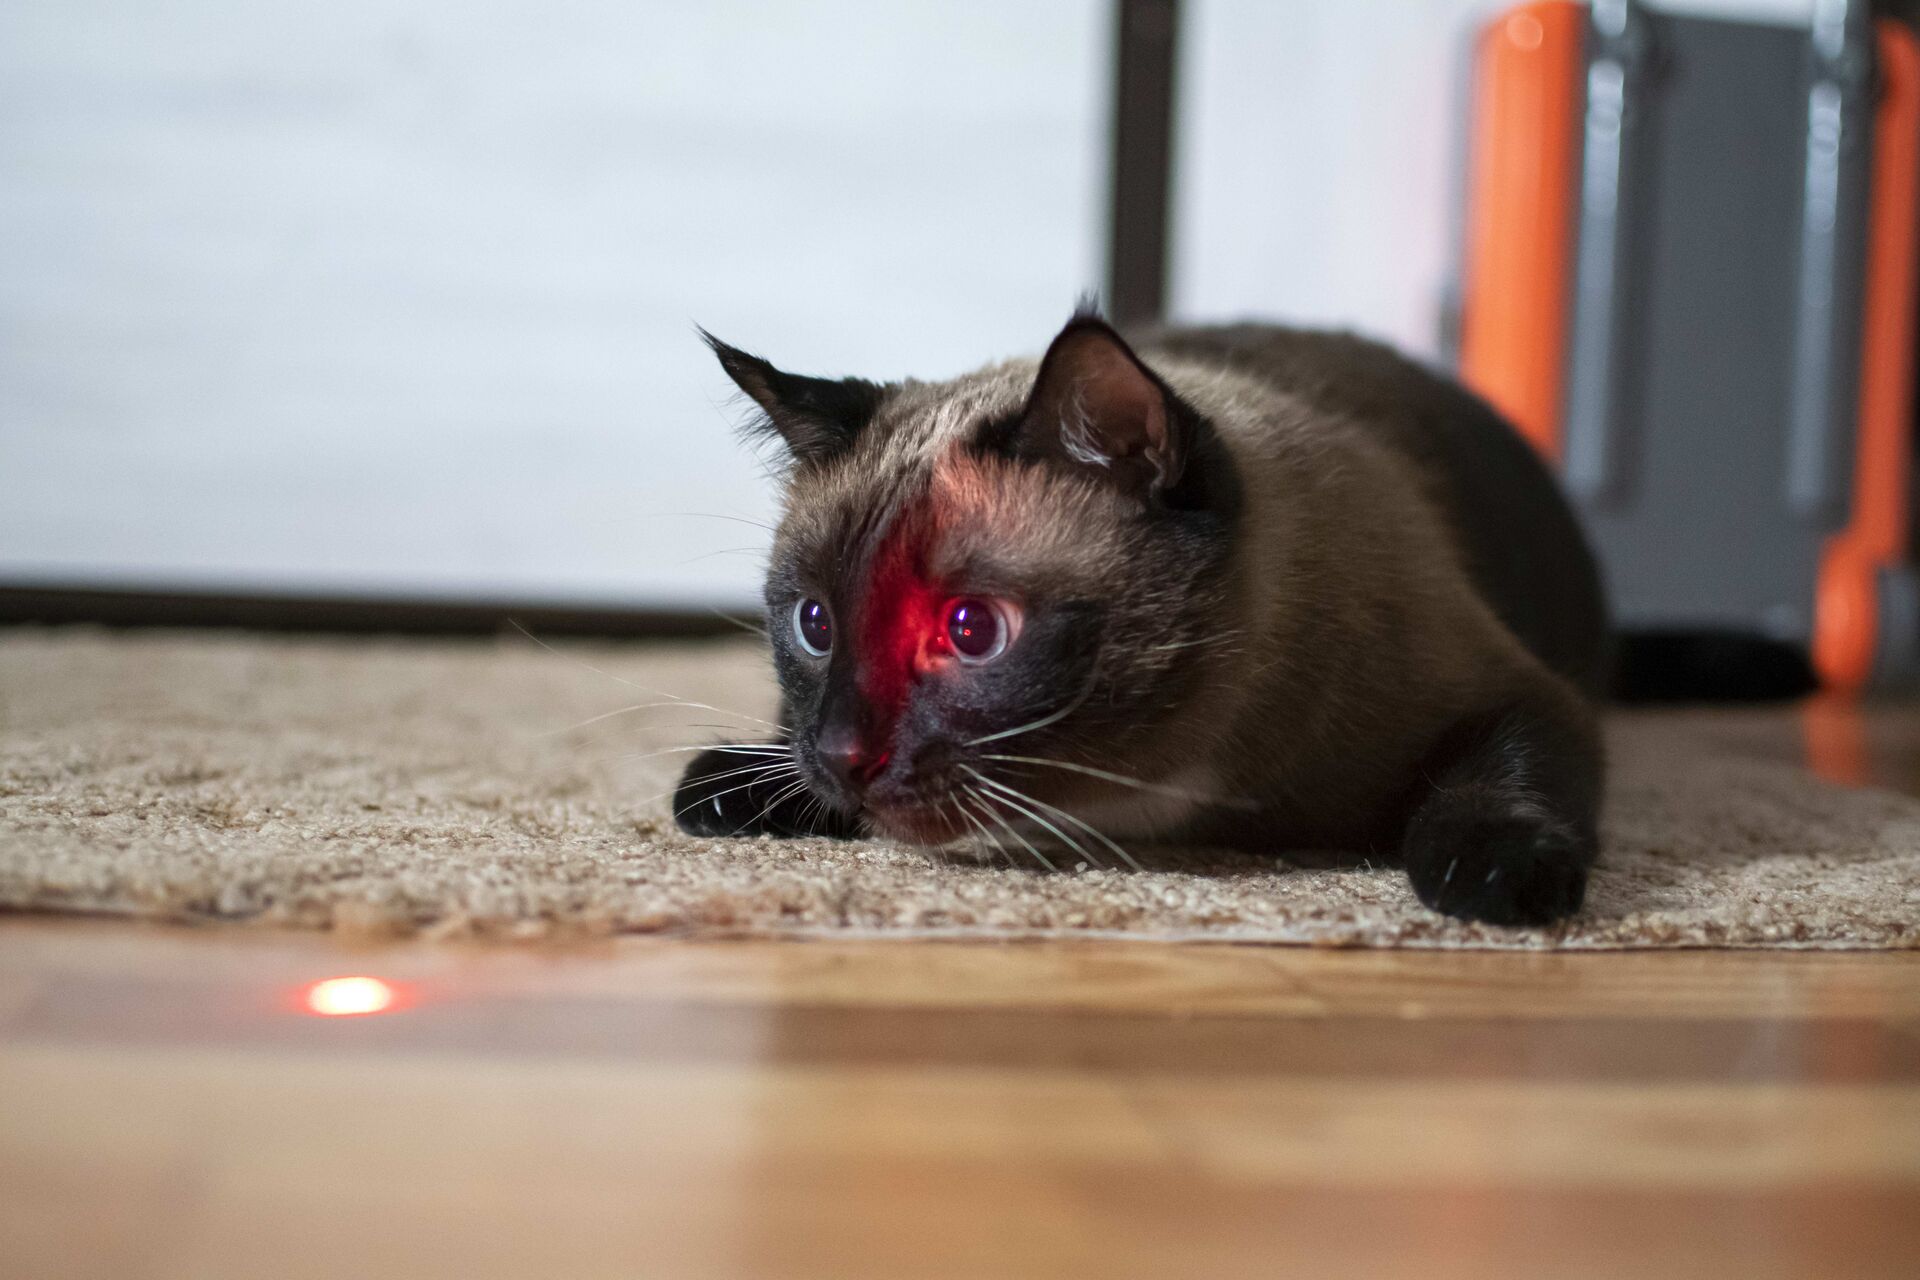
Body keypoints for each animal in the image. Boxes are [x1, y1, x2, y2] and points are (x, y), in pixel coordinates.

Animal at [675, 314, 1605, 924]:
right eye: (816, 624)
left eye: (970, 630)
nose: (842, 754)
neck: (1134, 783)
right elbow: (774, 753)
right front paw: (741, 786)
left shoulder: (1524, 696)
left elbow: (1491, 779)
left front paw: (1493, 880)